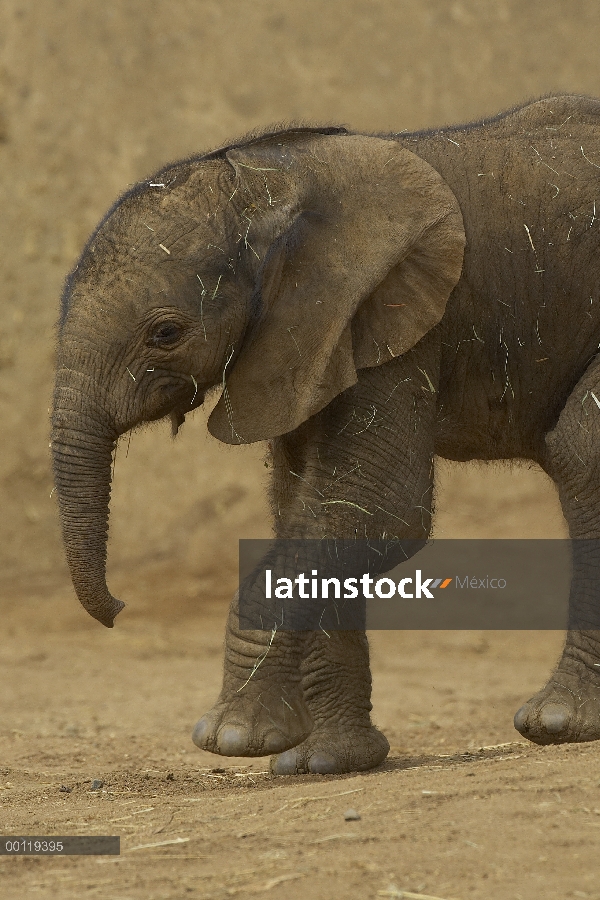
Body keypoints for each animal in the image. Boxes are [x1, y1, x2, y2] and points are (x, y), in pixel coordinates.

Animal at [52, 96, 600, 772]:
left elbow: (378, 510)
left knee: (581, 451)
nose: (120, 609)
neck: (271, 182)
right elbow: (311, 508)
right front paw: (322, 760)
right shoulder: (310, 339)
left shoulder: (392, 318)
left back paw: (557, 723)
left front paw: (234, 737)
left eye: (165, 333)